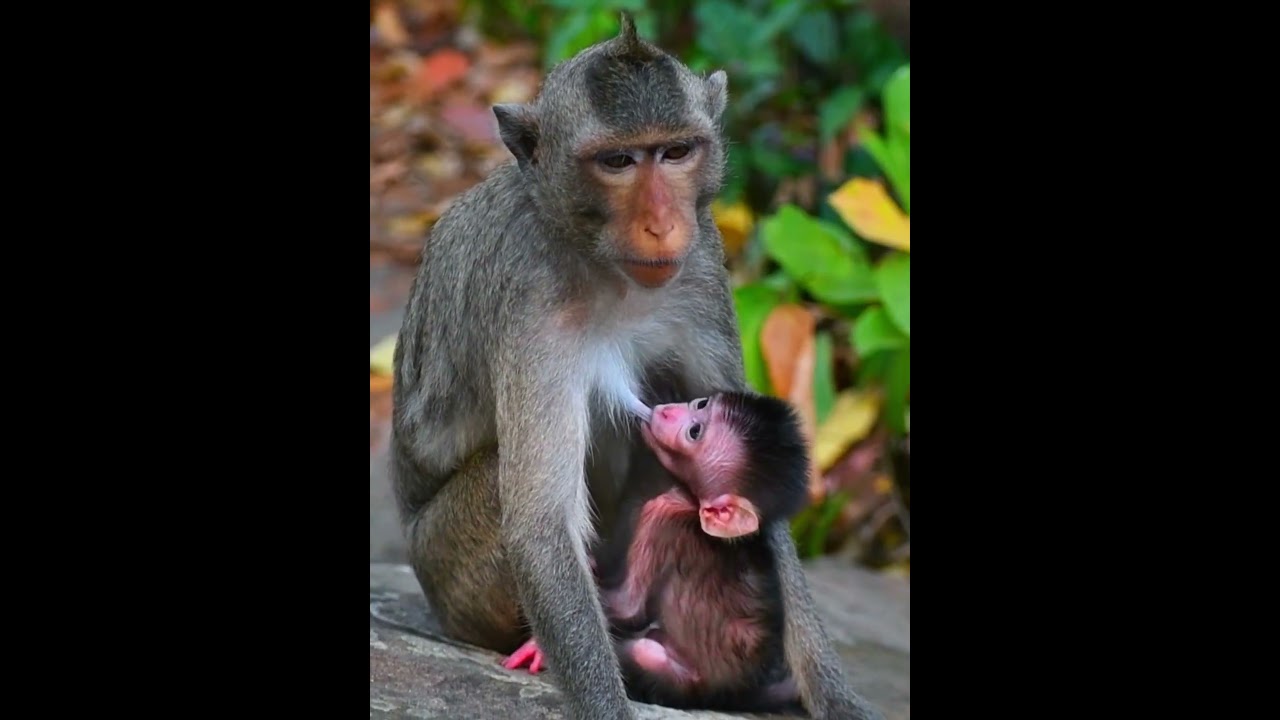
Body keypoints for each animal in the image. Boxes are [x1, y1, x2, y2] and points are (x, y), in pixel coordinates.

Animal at [504, 391, 811, 714]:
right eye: (701, 404)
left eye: (694, 433)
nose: (667, 412)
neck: (692, 503)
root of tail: (732, 694)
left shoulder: (662, 517)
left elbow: (629, 606)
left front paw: (537, 644)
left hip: (681, 682)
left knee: (647, 652)